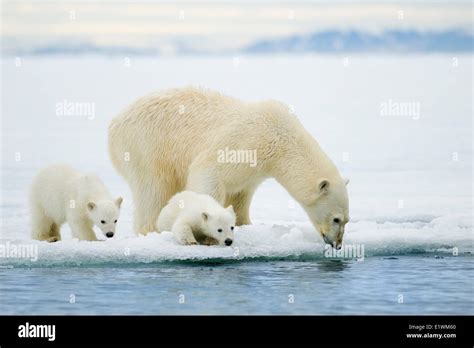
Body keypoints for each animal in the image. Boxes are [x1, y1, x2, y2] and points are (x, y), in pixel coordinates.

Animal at [109, 88, 350, 249]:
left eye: (346, 219)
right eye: (336, 219)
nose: (337, 244)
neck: (280, 139)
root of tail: (115, 123)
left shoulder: (255, 168)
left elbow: (241, 195)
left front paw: (245, 224)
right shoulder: (245, 142)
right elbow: (207, 173)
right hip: (146, 146)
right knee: (154, 189)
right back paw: (151, 229)